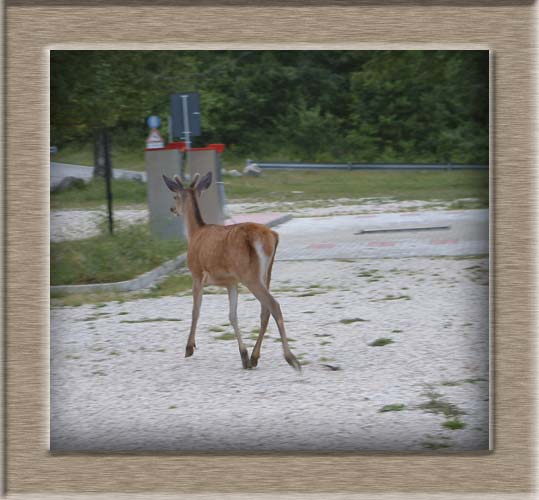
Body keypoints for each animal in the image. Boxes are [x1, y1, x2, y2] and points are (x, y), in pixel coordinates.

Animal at [162, 172, 302, 372]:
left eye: (174, 196)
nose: (172, 208)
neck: (194, 234)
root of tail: (272, 236)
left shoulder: (196, 273)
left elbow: (195, 311)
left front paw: (189, 347)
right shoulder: (231, 282)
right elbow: (232, 315)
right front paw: (243, 355)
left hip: (249, 275)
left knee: (273, 305)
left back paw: (291, 358)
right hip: (266, 273)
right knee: (265, 310)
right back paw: (254, 357)